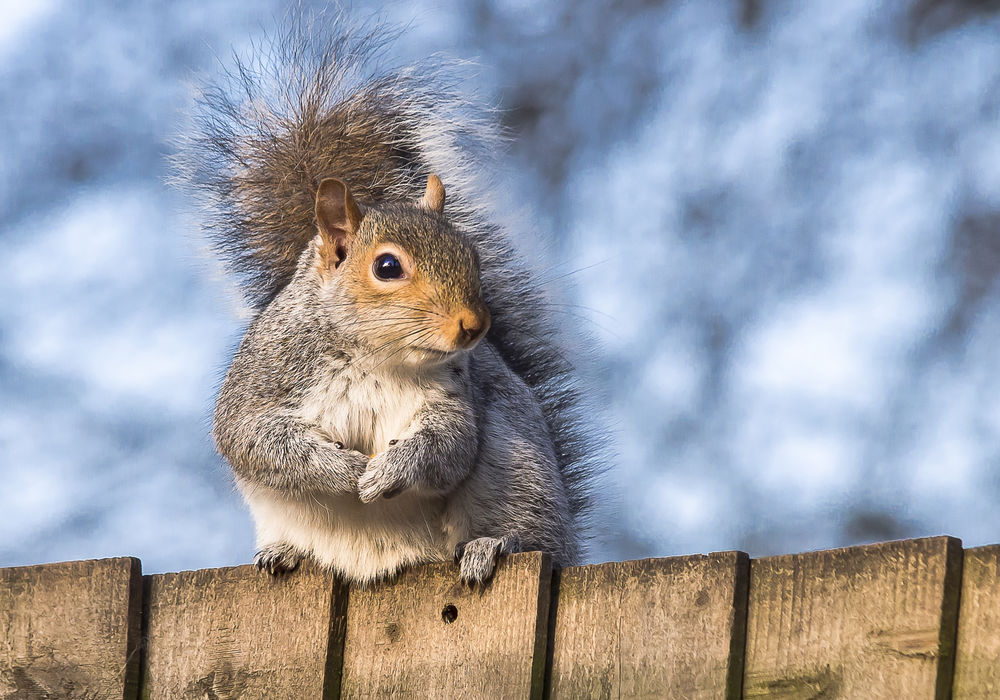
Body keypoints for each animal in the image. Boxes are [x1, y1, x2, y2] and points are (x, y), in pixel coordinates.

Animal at [175, 15, 597, 585]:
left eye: (473, 256)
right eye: (387, 268)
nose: (475, 325)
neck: (375, 356)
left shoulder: (450, 396)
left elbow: (448, 447)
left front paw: (391, 470)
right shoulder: (263, 381)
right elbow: (254, 440)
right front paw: (345, 469)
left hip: (522, 473)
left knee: (535, 536)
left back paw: (493, 545)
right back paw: (281, 553)